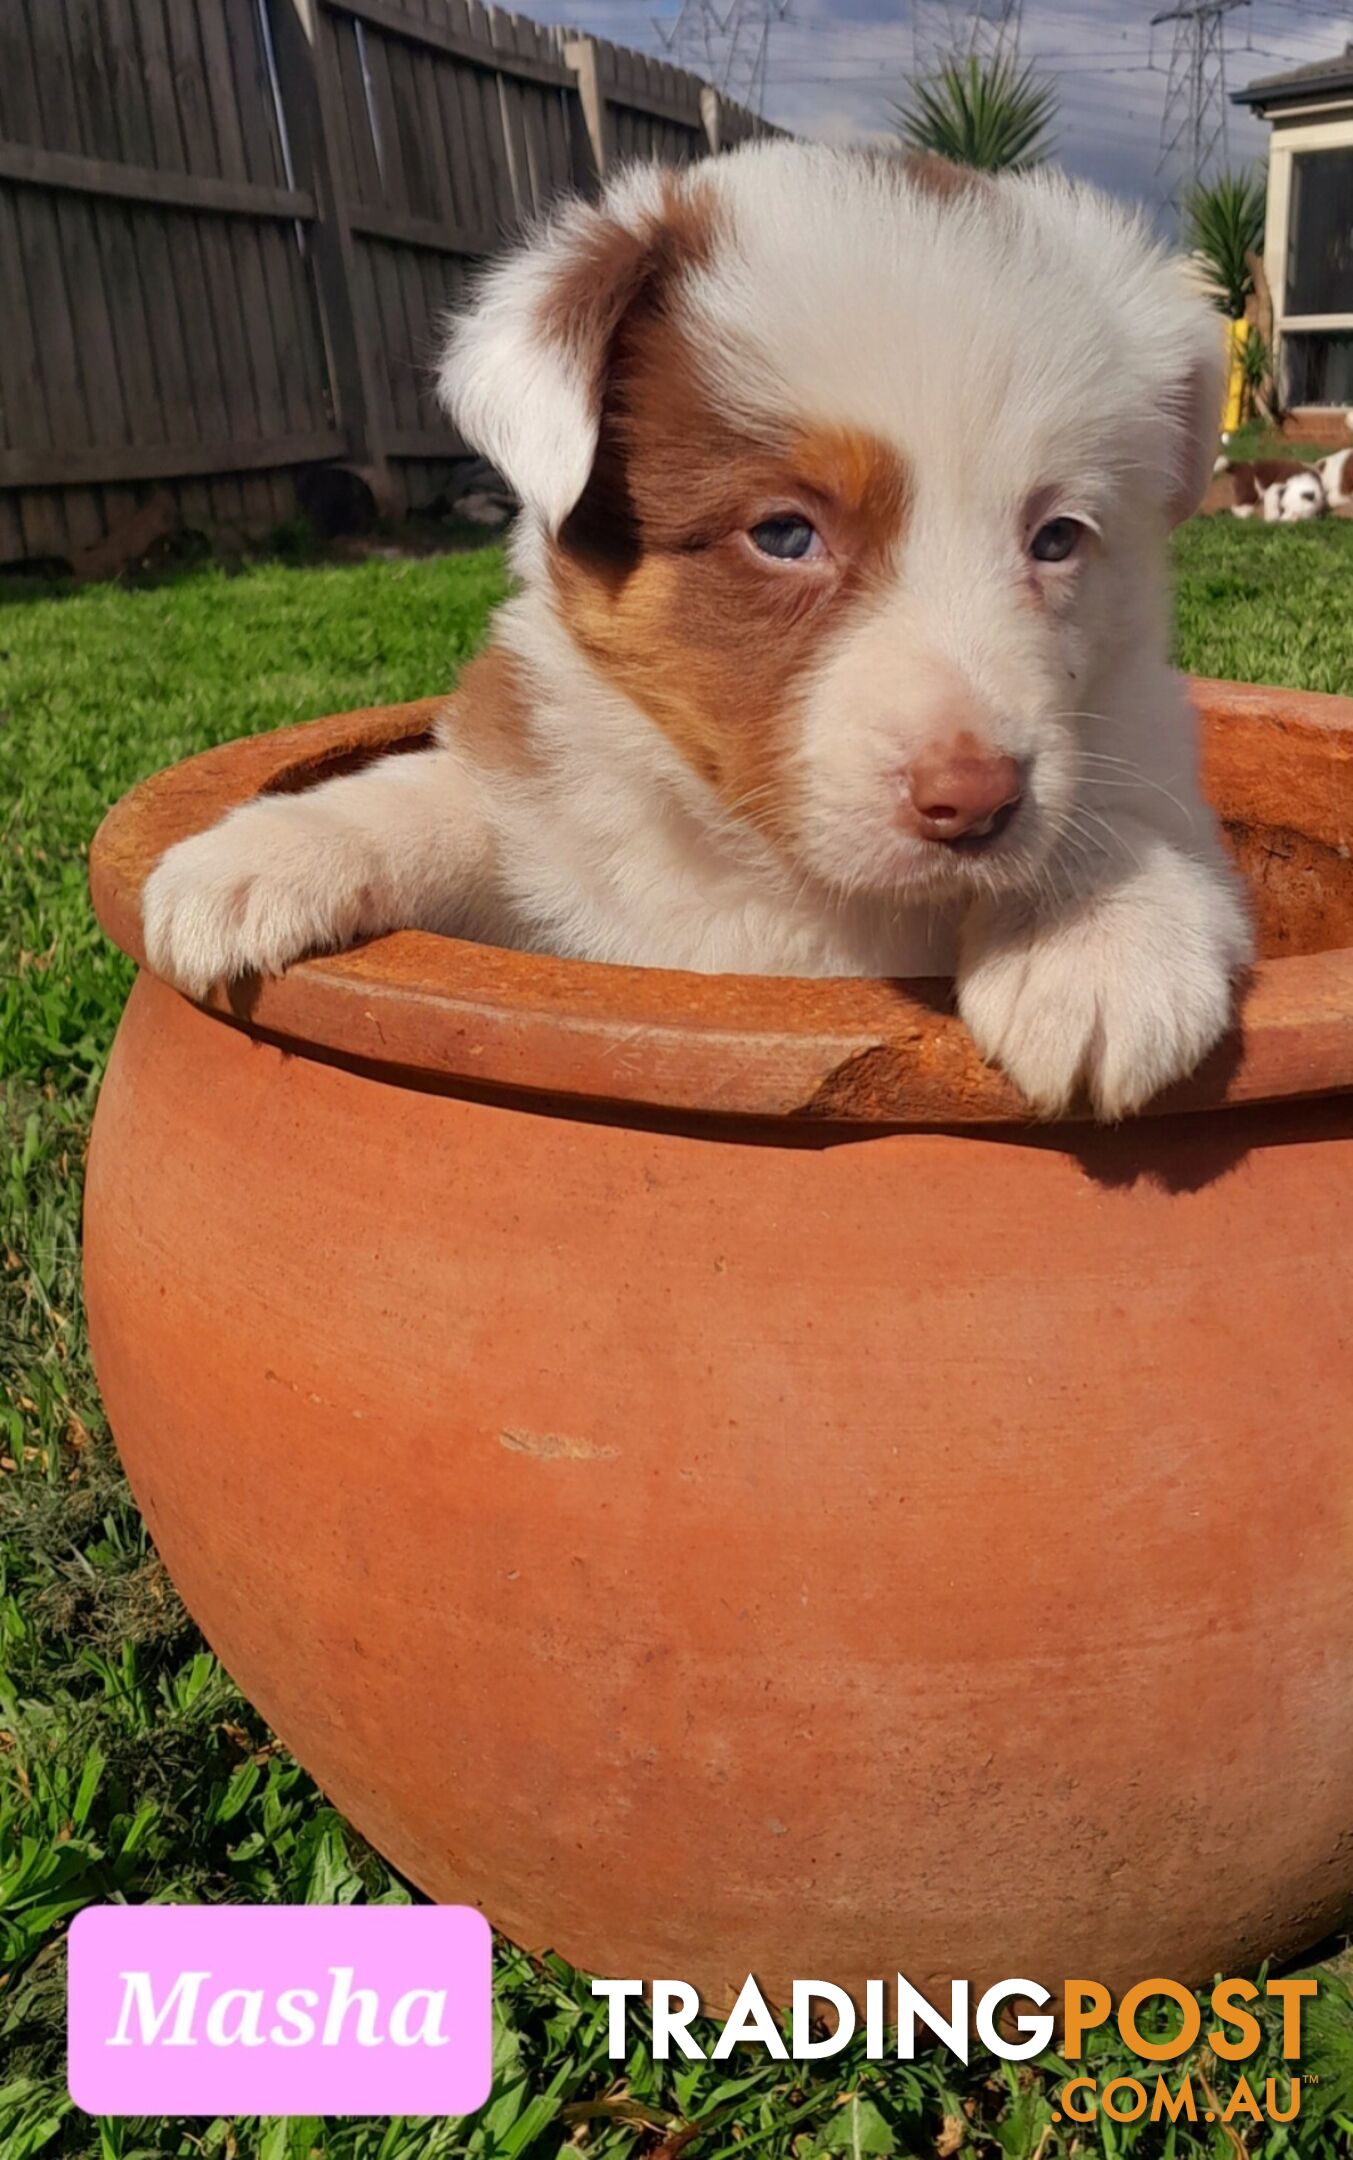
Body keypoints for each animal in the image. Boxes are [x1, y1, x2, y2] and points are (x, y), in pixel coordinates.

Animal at [142, 143, 1244, 1123]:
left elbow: (1116, 806)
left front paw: (1093, 941)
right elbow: (450, 798)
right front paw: (263, 855)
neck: (771, 870)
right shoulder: (555, 834)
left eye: (1057, 538)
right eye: (784, 533)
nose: (975, 801)